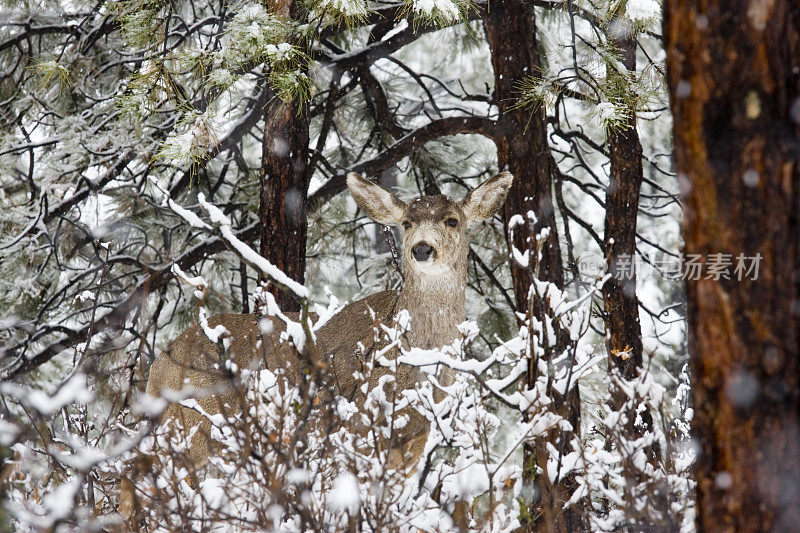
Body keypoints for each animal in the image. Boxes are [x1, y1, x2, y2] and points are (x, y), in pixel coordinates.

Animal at [122, 169, 516, 516]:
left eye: (452, 221)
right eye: (406, 222)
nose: (421, 249)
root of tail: (162, 360)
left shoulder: (412, 441)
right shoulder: (356, 425)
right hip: (189, 422)